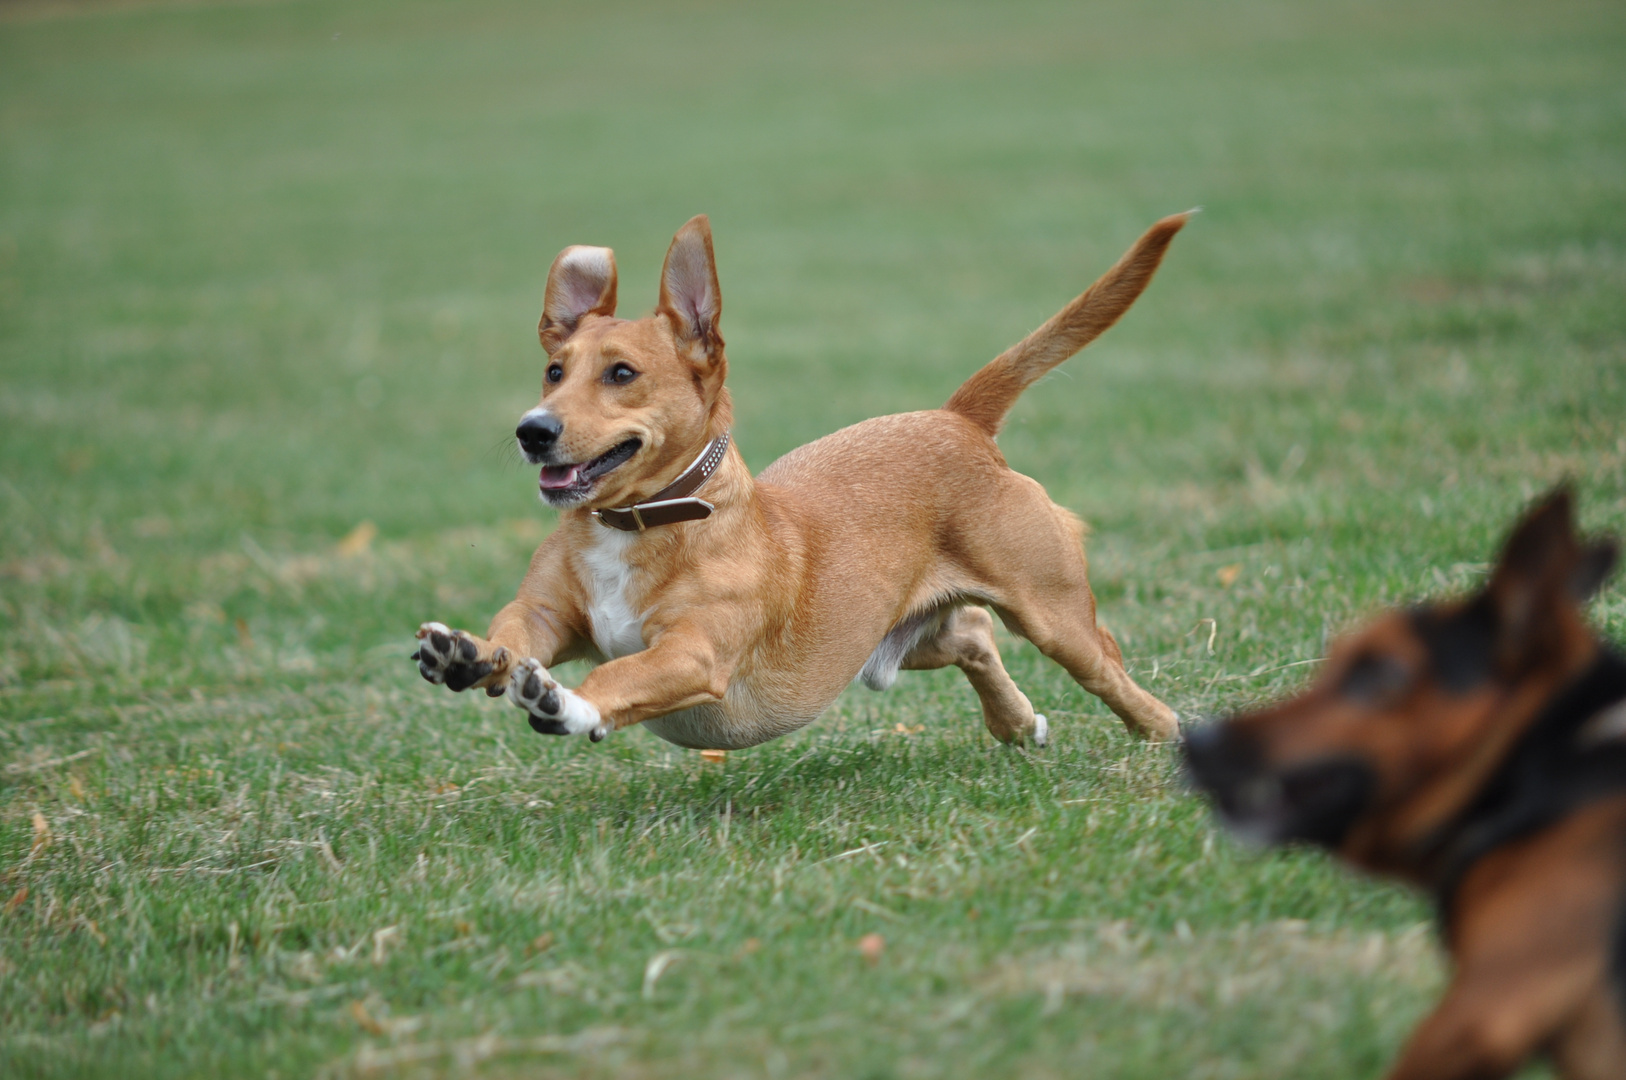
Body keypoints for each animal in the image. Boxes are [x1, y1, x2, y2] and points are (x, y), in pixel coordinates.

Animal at [413, 211, 1190, 751]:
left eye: (622, 373)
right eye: (554, 370)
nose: (532, 430)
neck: (643, 525)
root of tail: (956, 419)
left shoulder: (692, 651)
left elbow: (618, 675)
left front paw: (567, 703)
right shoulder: (548, 615)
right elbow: (514, 631)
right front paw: (467, 654)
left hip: (1054, 613)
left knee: (1106, 668)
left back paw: (1164, 731)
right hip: (883, 639)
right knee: (971, 632)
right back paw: (1017, 722)